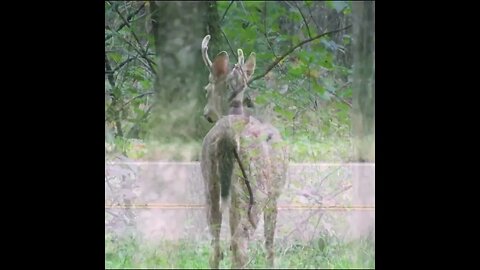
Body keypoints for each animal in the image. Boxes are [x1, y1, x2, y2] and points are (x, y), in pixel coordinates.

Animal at [200, 35, 286, 268]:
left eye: (206, 89)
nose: (206, 114)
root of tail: (228, 137)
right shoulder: (275, 194)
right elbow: (270, 244)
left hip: (210, 182)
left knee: (216, 244)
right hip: (252, 188)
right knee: (239, 245)